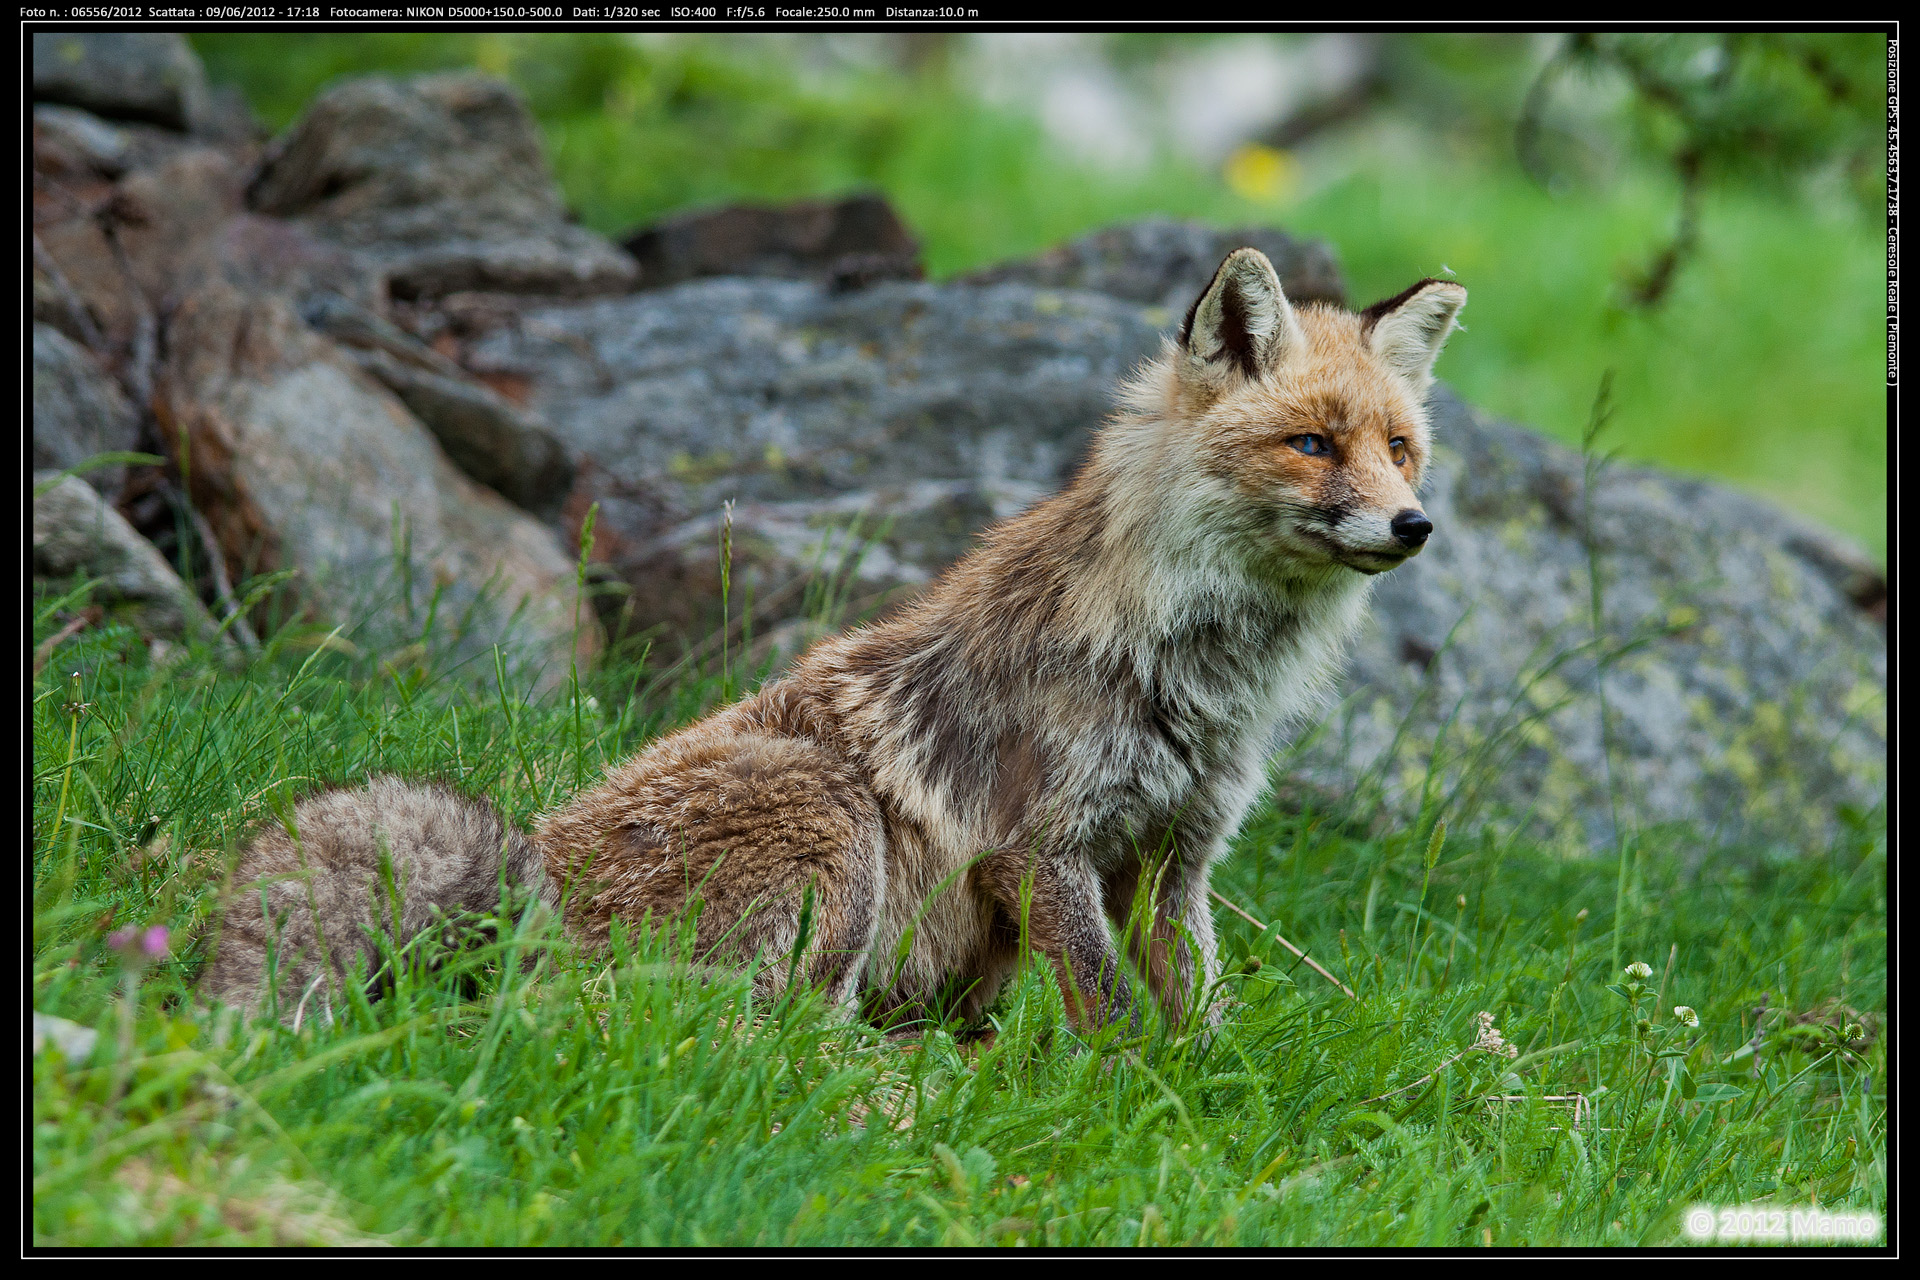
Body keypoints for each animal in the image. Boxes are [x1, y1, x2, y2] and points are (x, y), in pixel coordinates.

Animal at [198, 248, 1466, 1034]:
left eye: (1400, 447)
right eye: (1312, 443)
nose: (1413, 525)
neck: (1197, 672)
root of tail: (530, 885)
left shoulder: (1172, 860)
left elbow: (1199, 1017)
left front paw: (1206, 1105)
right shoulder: (1040, 848)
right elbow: (1110, 1017)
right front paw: (1129, 1111)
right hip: (830, 817)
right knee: (736, 1037)